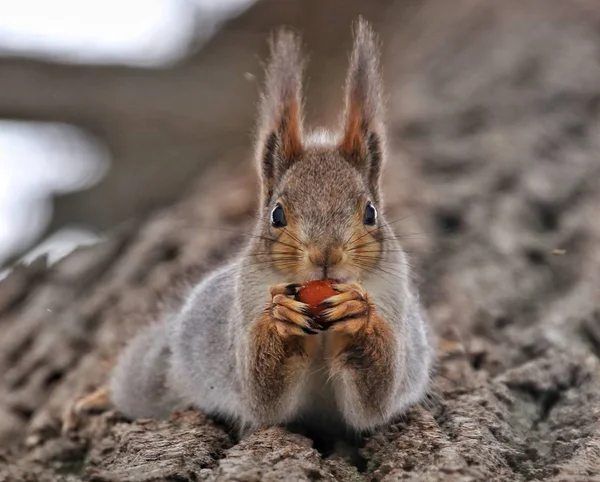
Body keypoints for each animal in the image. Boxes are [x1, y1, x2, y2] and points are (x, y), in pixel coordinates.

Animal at [63, 18, 434, 438]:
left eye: (370, 212)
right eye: (276, 215)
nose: (326, 255)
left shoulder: (395, 304)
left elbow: (375, 399)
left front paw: (359, 313)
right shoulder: (244, 313)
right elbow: (263, 394)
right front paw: (279, 317)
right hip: (159, 372)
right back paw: (95, 398)